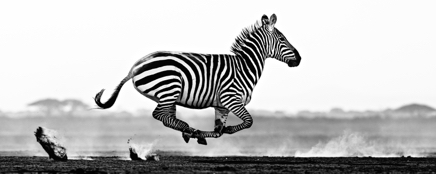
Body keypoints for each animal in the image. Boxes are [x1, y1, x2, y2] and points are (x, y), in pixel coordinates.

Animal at [94, 13, 300, 145]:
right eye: (282, 39)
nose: (299, 59)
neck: (245, 67)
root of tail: (136, 65)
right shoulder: (231, 99)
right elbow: (249, 122)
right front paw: (218, 131)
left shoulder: (221, 106)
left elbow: (218, 132)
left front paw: (211, 133)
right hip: (170, 88)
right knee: (159, 115)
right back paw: (190, 130)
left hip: (169, 96)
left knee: (166, 117)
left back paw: (192, 132)